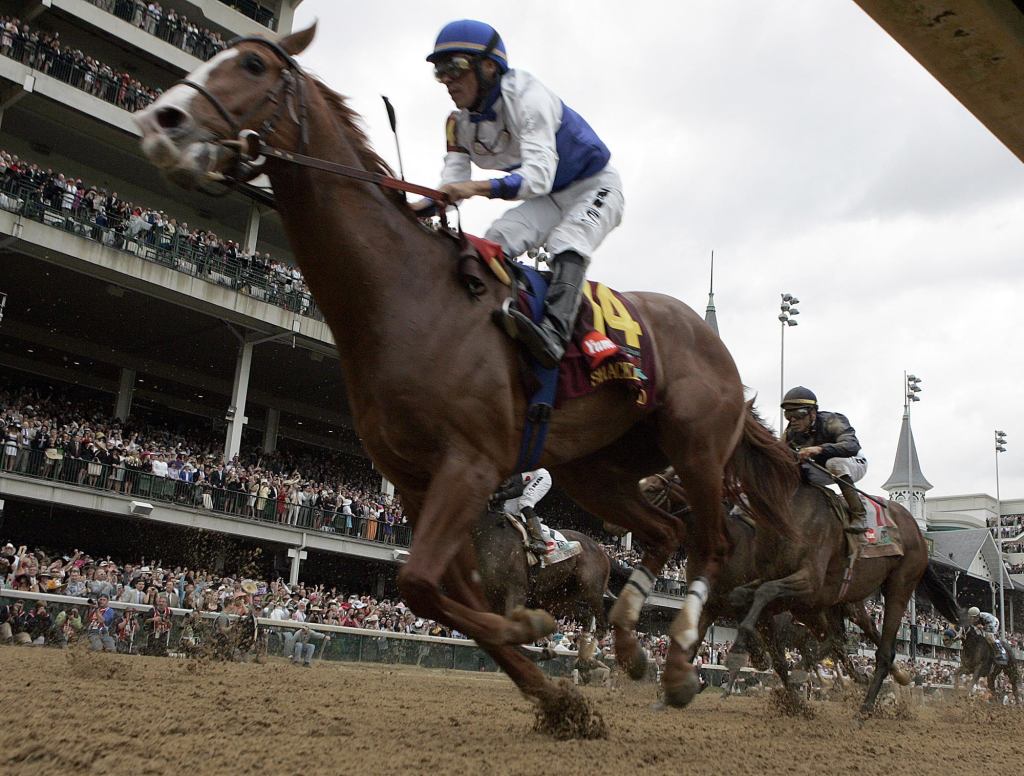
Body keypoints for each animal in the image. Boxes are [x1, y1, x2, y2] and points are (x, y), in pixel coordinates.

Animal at [132, 25, 794, 728]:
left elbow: (423, 585)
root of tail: (717, 347)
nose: (160, 120)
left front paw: (535, 641)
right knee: (663, 532)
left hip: (694, 448)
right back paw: (628, 647)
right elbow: (432, 593)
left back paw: (676, 661)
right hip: (597, 471)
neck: (403, 295)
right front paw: (553, 694)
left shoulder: (470, 464)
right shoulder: (416, 484)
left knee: (709, 545)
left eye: (253, 64)